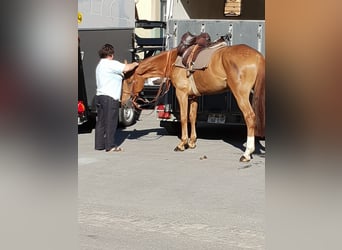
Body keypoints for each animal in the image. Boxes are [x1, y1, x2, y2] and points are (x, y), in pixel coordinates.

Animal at [123, 44, 264, 162]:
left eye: (129, 81)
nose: (124, 100)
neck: (173, 61)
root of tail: (258, 56)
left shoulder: (182, 94)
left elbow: (184, 118)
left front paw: (182, 144)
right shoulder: (194, 97)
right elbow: (192, 117)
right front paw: (192, 142)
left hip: (241, 94)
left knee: (249, 117)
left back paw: (247, 153)